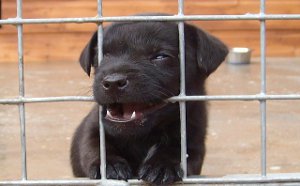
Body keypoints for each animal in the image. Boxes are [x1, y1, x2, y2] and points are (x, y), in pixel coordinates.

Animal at [71, 14, 227, 185]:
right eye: (102, 55)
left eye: (160, 56)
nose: (113, 82)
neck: (141, 136)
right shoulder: (92, 127)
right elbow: (93, 145)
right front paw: (109, 164)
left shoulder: (193, 137)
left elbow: (179, 149)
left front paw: (162, 164)